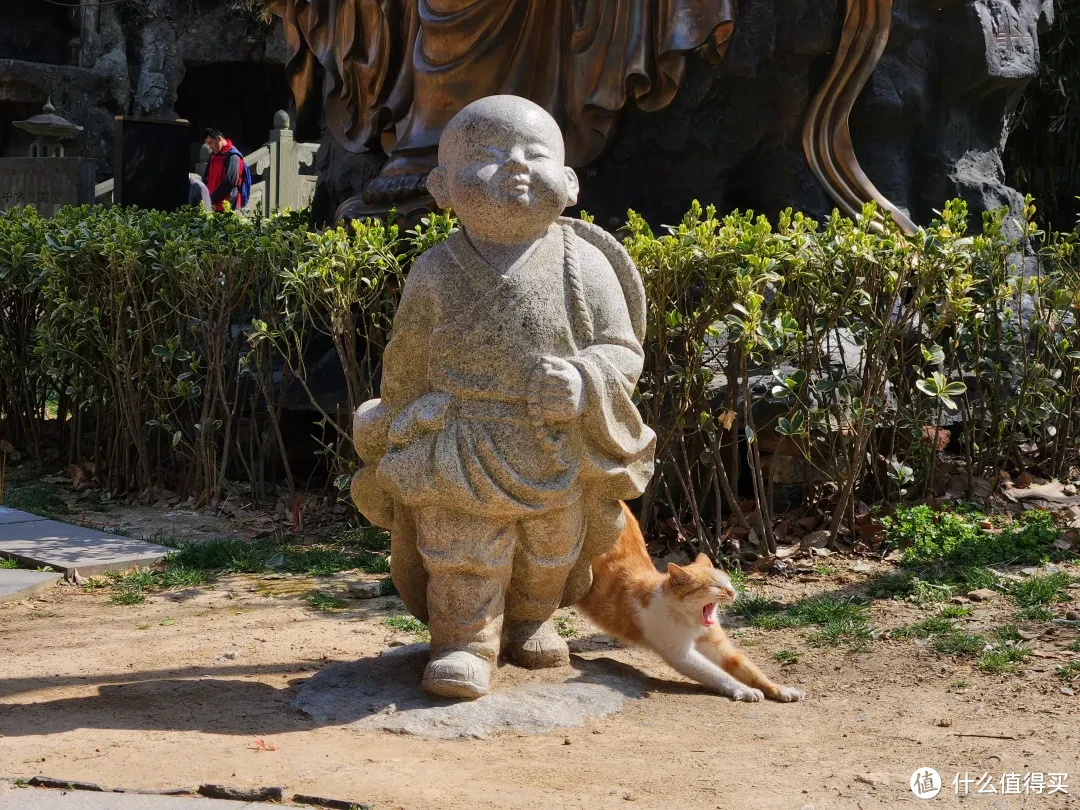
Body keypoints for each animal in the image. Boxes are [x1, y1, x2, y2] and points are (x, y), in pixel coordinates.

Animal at [583, 507, 803, 704]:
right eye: (715, 586)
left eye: (729, 582)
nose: (732, 592)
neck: (689, 618)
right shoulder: (680, 654)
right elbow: (717, 674)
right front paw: (744, 689)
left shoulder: (717, 645)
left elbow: (750, 670)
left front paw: (780, 689)